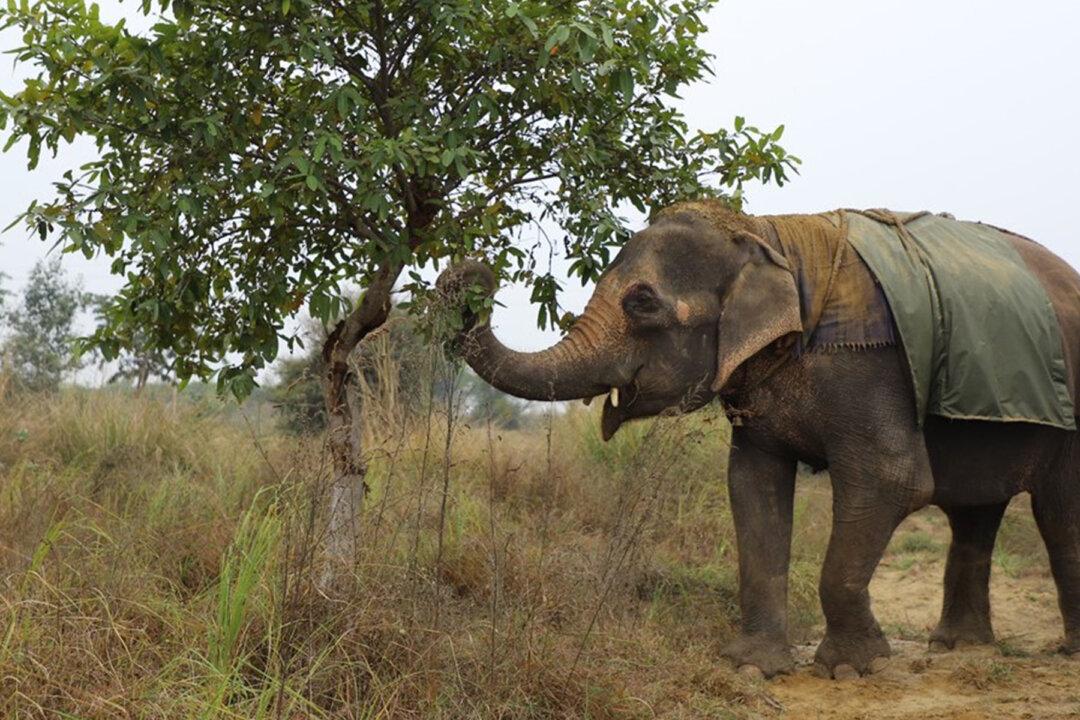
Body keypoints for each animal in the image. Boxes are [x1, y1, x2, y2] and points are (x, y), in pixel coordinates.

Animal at [437, 200, 1080, 680]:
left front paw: (853, 670)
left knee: (1057, 513)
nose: (473, 271)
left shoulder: (871, 366)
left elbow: (893, 479)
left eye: (642, 303)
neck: (767, 236)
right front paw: (751, 667)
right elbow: (754, 485)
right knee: (976, 513)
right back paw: (960, 649)